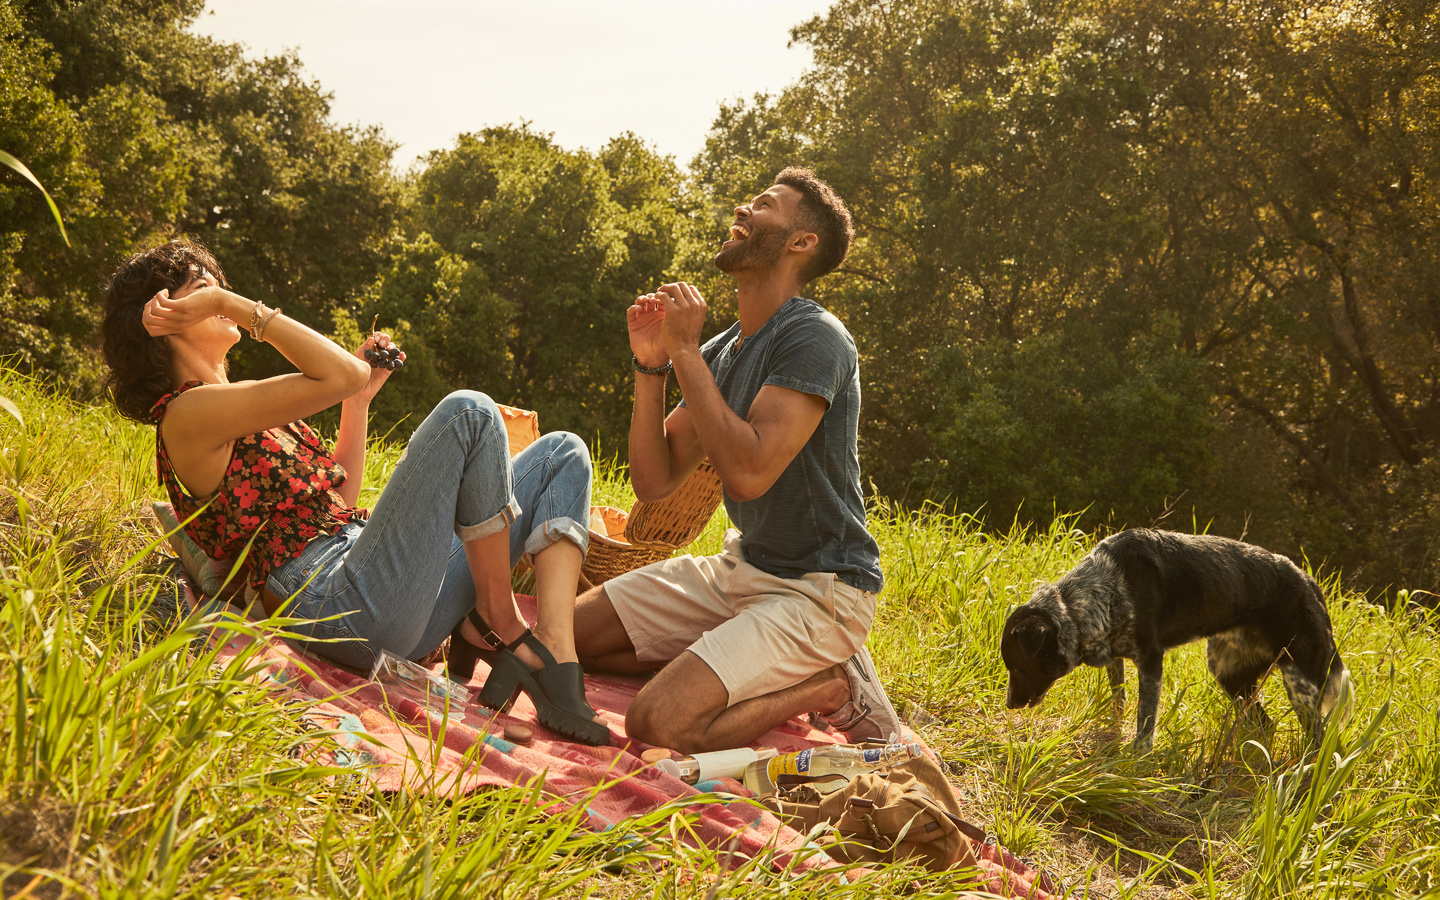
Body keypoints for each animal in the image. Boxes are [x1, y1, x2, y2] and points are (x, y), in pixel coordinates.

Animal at [1002, 529, 1347, 748]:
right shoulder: (1115, 655)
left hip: (1301, 683)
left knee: (1323, 741)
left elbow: (1145, 723)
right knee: (1266, 725)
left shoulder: (1151, 662)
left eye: (1017, 667)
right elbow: (1118, 701)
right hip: (1229, 673)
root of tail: (1311, 583)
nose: (1009, 705)